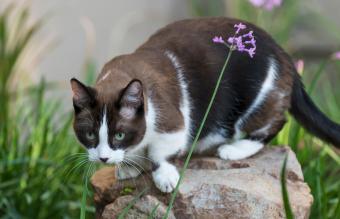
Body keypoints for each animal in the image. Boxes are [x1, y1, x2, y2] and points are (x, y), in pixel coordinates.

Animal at [69, 17, 340, 193]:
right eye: (90, 134)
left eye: (119, 134)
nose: (103, 158)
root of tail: (285, 54)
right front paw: (129, 164)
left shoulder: (173, 121)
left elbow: (161, 152)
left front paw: (164, 175)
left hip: (260, 96)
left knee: (274, 122)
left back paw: (233, 149)